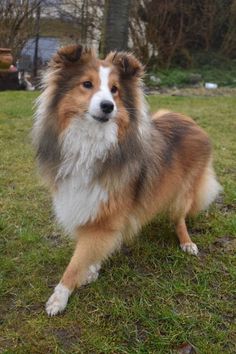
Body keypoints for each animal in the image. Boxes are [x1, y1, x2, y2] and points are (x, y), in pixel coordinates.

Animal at [32, 43, 222, 316]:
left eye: (115, 90)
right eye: (86, 84)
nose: (108, 106)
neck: (91, 144)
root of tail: (191, 121)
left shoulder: (105, 214)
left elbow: (76, 261)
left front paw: (60, 296)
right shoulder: (91, 208)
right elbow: (92, 250)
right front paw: (91, 270)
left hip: (183, 193)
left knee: (180, 219)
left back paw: (187, 243)